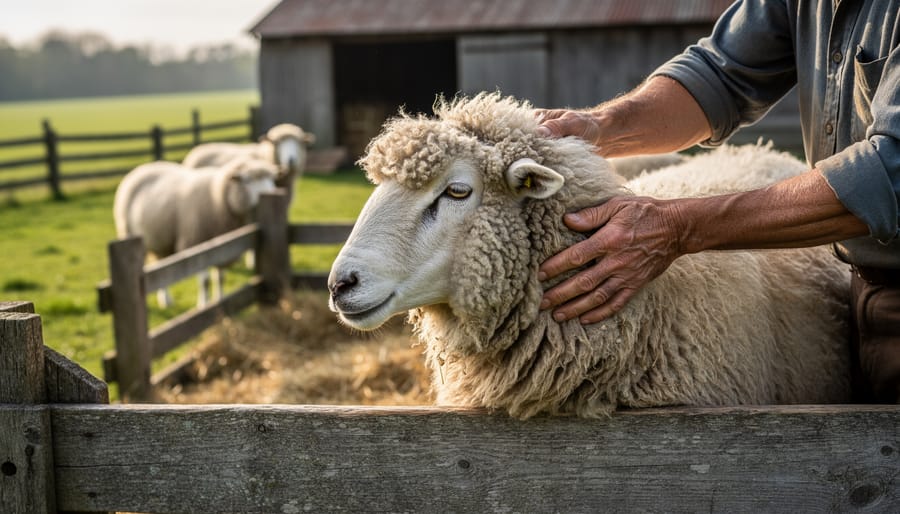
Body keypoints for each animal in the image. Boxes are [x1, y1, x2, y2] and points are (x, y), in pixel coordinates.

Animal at [114, 158, 279, 307]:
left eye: (271, 180)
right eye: (248, 180)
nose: (272, 192)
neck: (217, 199)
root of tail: (143, 167)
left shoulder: (224, 248)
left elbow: (220, 278)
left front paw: (221, 301)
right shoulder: (196, 245)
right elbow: (205, 282)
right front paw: (204, 305)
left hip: (160, 240)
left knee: (160, 269)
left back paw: (166, 300)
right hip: (129, 233)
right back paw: (165, 300)